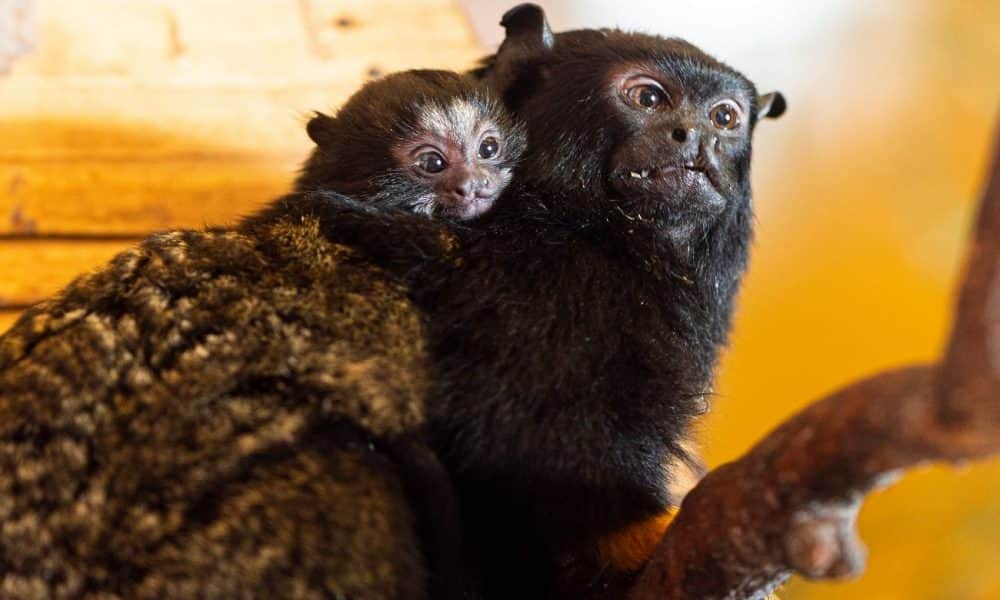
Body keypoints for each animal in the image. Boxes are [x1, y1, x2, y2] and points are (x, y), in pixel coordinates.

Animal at [410, 3, 784, 596]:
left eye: (724, 118)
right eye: (649, 98)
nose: (695, 138)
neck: (591, 231)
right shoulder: (545, 290)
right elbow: (525, 432)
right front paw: (631, 540)